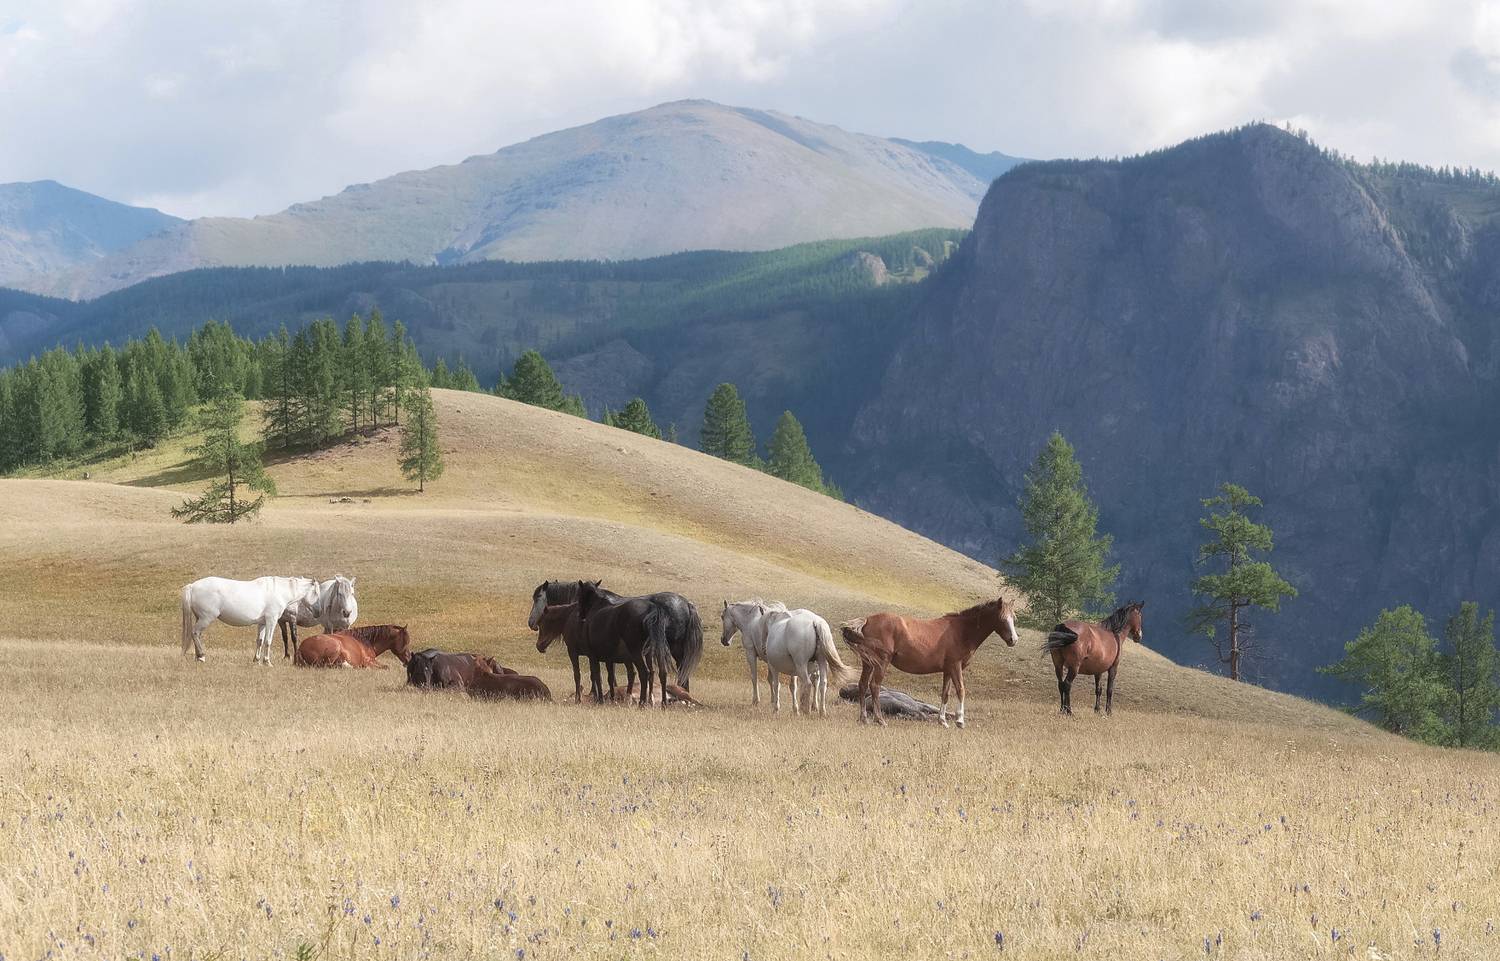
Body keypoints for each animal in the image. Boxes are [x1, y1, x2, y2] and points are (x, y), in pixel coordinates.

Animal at [180, 575, 322, 664]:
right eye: (316, 592)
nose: (319, 612)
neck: (279, 591)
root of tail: (192, 586)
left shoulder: (262, 623)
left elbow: (260, 641)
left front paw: (256, 660)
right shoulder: (272, 620)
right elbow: (268, 641)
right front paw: (267, 661)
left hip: (200, 618)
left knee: (197, 635)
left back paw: (198, 657)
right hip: (206, 618)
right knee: (195, 633)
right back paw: (201, 656)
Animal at [720, 600, 852, 716]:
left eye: (722, 617)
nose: (724, 640)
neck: (751, 621)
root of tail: (815, 622)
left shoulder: (752, 654)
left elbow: (759, 679)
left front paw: (758, 701)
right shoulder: (782, 666)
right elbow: (787, 685)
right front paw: (781, 703)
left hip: (802, 665)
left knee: (808, 683)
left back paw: (807, 710)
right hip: (820, 662)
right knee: (821, 683)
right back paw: (819, 710)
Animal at [840, 595, 1019, 728]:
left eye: (1013, 618)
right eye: (1002, 618)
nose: (1014, 640)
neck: (961, 631)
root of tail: (867, 620)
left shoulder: (948, 670)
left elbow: (945, 694)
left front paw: (943, 721)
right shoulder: (956, 667)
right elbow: (961, 690)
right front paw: (960, 721)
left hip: (868, 664)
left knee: (863, 685)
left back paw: (864, 718)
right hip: (881, 663)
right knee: (874, 686)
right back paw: (880, 720)